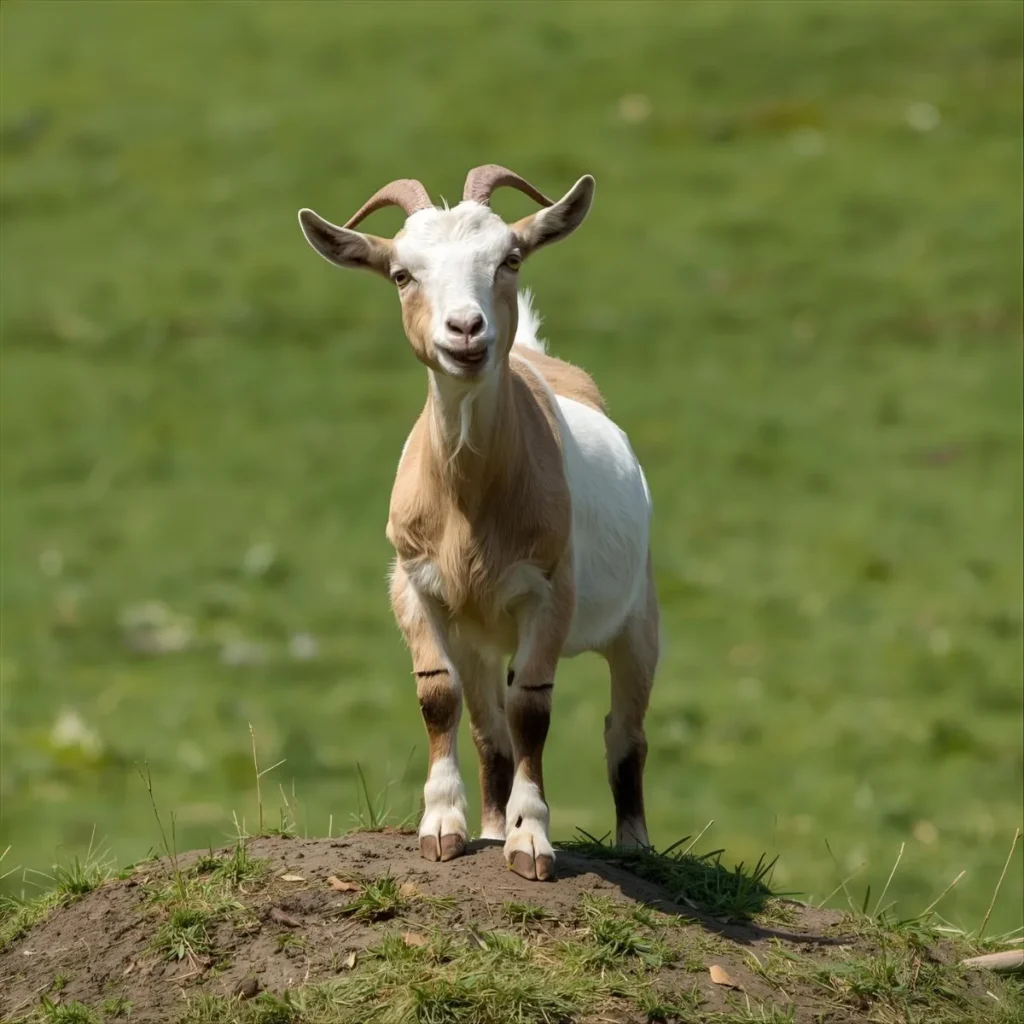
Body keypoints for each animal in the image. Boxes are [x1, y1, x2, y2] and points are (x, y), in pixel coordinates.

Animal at [298, 166, 658, 881]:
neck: (468, 506)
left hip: (638, 618)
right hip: (480, 632)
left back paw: (634, 846)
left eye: (509, 259)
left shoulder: (548, 589)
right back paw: (490, 826)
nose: (466, 331)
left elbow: (533, 708)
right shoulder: (415, 584)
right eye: (401, 273)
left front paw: (531, 841)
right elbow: (442, 698)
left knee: (623, 730)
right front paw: (444, 827)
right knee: (490, 728)